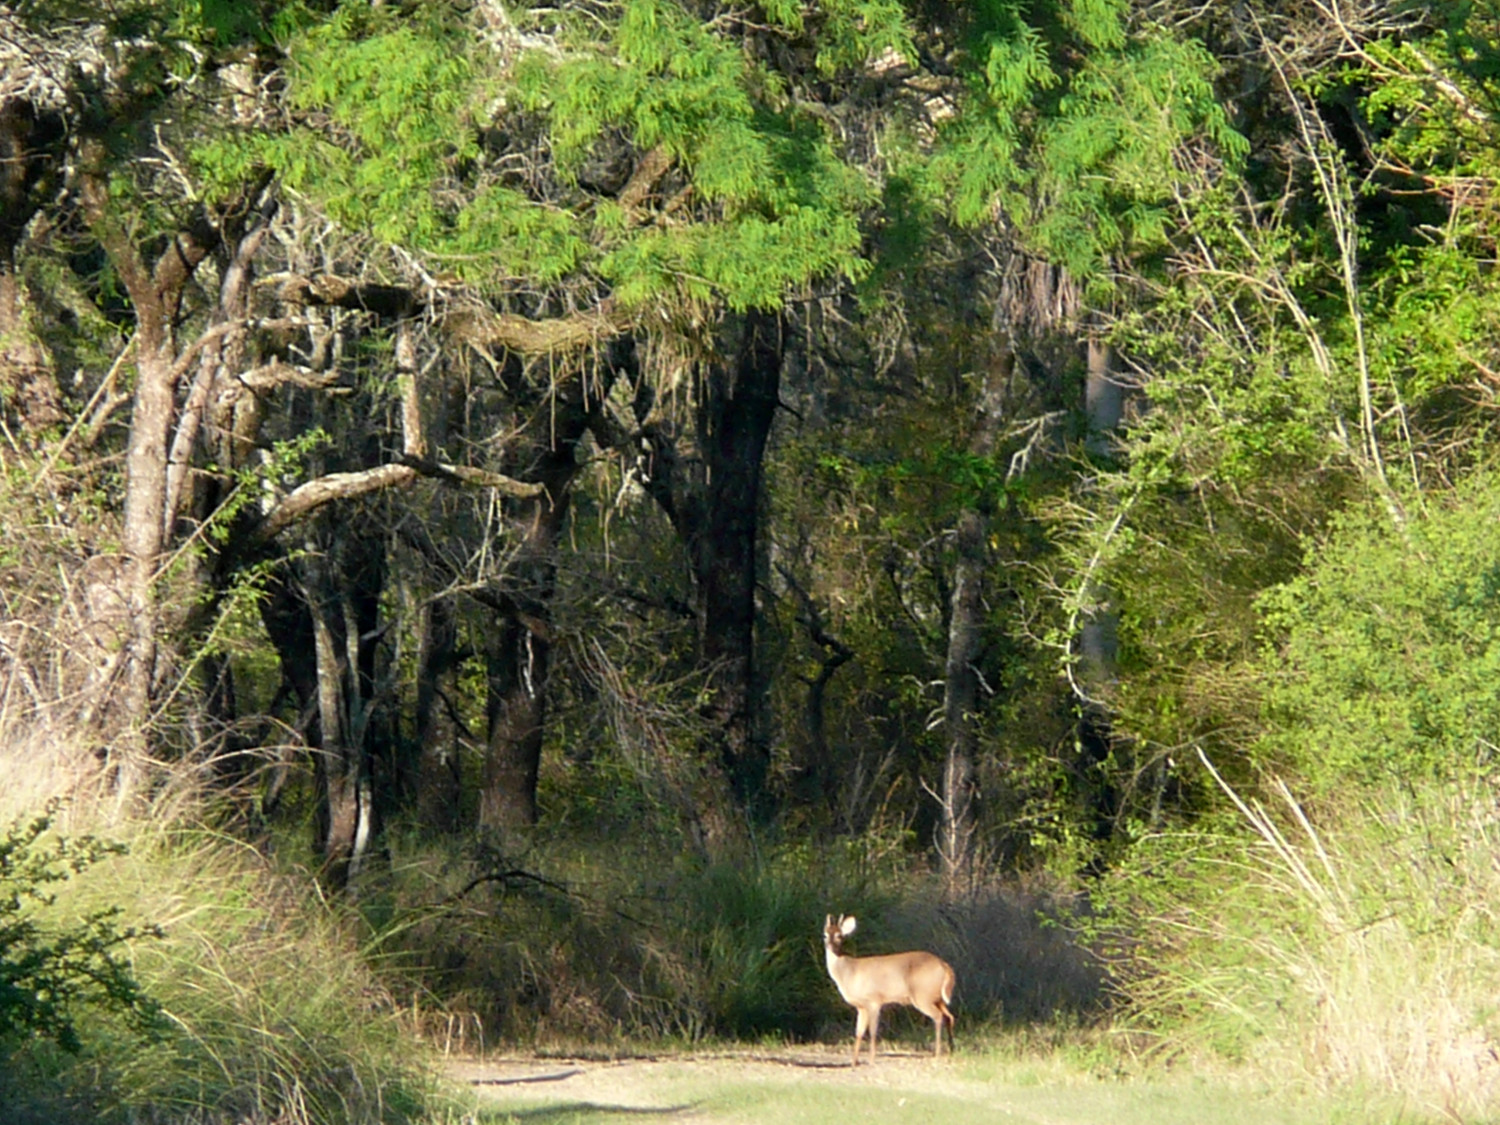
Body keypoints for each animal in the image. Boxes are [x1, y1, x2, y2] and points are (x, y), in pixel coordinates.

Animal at [828, 918, 954, 1068]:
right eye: (825, 934)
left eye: (839, 936)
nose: (830, 946)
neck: (849, 972)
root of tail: (944, 966)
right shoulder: (861, 1006)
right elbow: (859, 1032)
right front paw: (854, 1062)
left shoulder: (874, 1001)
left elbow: (873, 1031)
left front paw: (871, 1060)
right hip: (937, 998)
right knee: (949, 1017)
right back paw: (952, 1050)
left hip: (923, 997)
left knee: (938, 1016)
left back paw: (937, 1054)